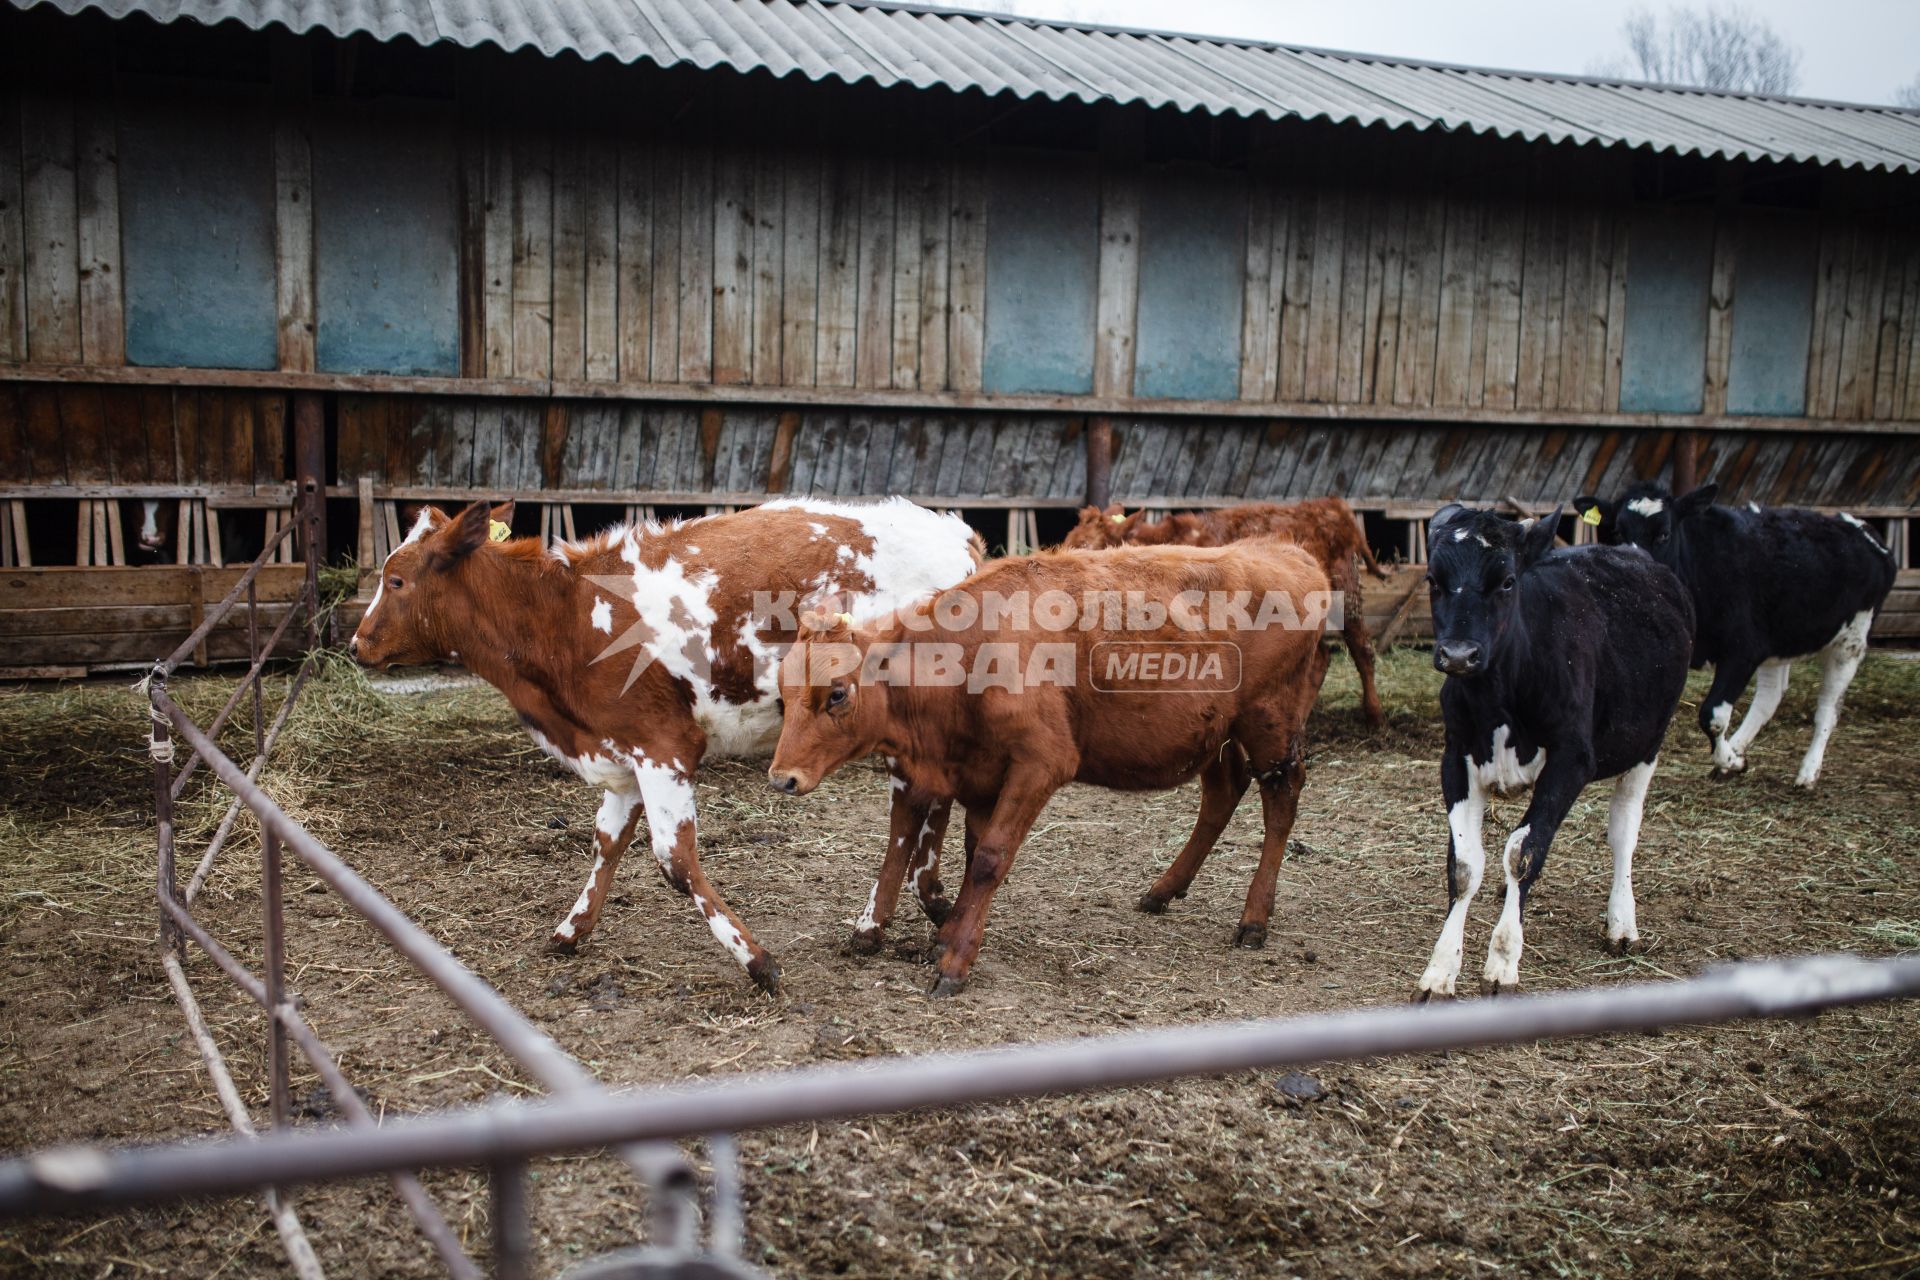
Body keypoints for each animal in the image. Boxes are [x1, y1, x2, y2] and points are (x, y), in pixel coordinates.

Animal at [347, 495, 983, 990]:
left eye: (396, 580)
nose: (356, 645)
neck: (566, 615)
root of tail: (957, 534)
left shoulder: (664, 747)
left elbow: (674, 862)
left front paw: (757, 961)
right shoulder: (622, 749)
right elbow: (606, 843)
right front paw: (570, 931)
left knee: (907, 811)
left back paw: (879, 923)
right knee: (929, 800)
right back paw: (928, 900)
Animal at [764, 537, 1336, 997]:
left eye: (837, 693)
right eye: (783, 696)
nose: (781, 778)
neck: (970, 654)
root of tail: (1286, 552)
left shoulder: (1040, 764)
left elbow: (989, 858)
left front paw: (955, 959)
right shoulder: (971, 775)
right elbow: (945, 853)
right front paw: (935, 937)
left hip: (1269, 725)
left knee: (1281, 798)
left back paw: (1254, 919)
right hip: (1216, 734)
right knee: (1223, 792)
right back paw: (1162, 890)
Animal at [1059, 498, 1390, 729]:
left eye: (1087, 545)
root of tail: (1332, 506)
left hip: (1346, 592)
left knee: (1361, 649)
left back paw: (1374, 717)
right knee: (1320, 658)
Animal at [1413, 502, 1697, 997]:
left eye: (1507, 580)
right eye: (1433, 579)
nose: (1459, 654)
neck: (1500, 695)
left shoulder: (1572, 760)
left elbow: (1522, 852)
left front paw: (1503, 960)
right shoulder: (1456, 757)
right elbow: (1465, 866)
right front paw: (1441, 968)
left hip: (1649, 744)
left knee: (1624, 831)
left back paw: (1622, 922)